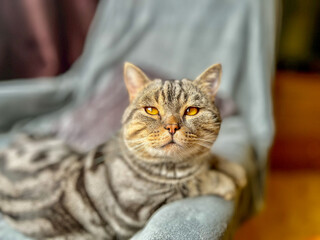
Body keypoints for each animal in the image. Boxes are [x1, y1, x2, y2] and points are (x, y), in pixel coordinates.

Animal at [0, 62, 248, 240]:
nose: (172, 127)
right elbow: (193, 182)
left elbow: (213, 158)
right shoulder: (139, 206)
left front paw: (235, 169)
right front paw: (225, 182)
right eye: (151, 110)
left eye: (192, 111)